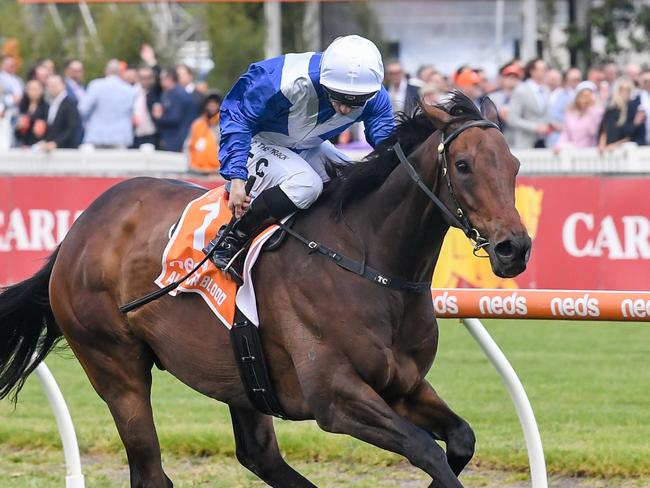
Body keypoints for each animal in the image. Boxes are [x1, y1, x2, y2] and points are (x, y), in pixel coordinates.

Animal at [0, 92, 528, 488]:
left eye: (515, 164)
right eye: (463, 165)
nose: (514, 248)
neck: (368, 263)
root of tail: (79, 229)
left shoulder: (403, 385)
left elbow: (460, 439)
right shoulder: (336, 398)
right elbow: (426, 450)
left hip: (239, 374)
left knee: (259, 456)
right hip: (116, 366)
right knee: (152, 472)